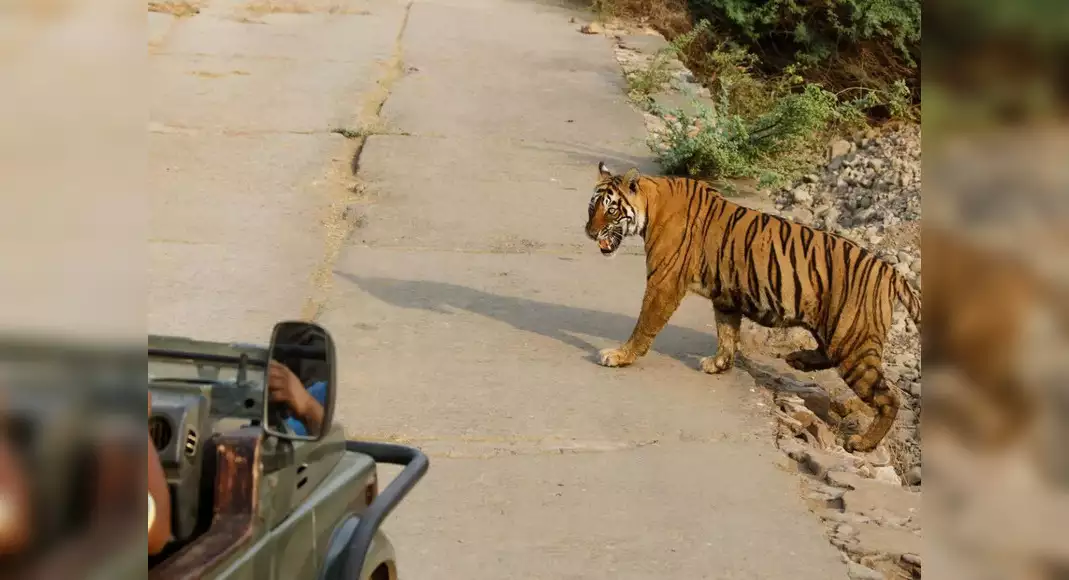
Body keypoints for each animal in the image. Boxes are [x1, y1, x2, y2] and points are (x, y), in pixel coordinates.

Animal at [585, 162, 919, 452]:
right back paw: (798, 359)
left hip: (851, 340)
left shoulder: (663, 283)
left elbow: (644, 325)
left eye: (611, 209)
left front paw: (620, 356)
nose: (589, 232)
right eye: (592, 207)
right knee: (830, 355)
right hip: (836, 329)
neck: (652, 204)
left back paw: (863, 443)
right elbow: (726, 333)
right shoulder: (725, 297)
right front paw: (719, 364)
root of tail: (891, 272)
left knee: (889, 398)